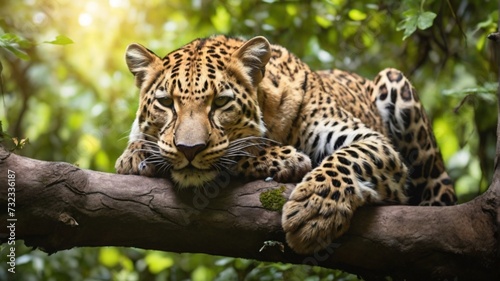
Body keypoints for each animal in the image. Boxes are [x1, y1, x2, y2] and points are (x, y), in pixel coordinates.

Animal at [116, 35, 458, 254]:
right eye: (166, 103)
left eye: (221, 103)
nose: (189, 149)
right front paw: (135, 155)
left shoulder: (374, 141)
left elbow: (347, 158)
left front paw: (314, 209)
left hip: (396, 84)